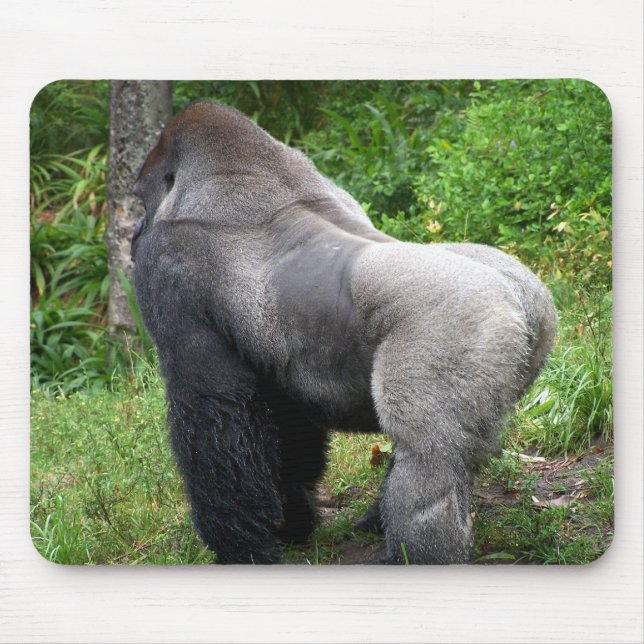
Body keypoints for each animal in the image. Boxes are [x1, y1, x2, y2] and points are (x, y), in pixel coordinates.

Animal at [131, 100, 557, 564]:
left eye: (139, 202)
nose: (133, 232)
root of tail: (518, 296)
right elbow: (284, 422)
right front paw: (292, 519)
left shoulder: (167, 269)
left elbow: (214, 411)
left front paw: (239, 546)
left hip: (457, 327)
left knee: (428, 458)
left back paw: (416, 553)